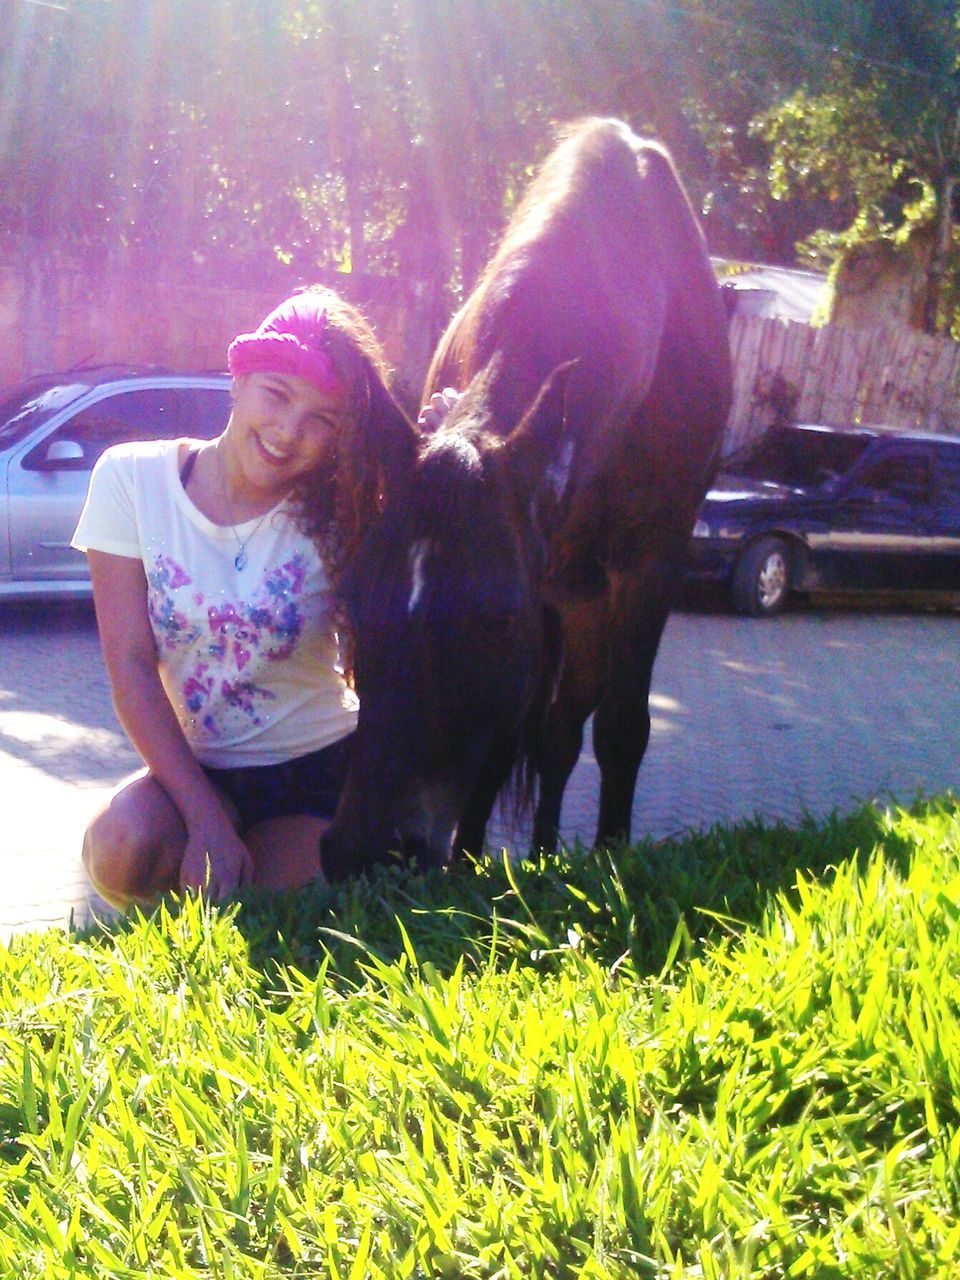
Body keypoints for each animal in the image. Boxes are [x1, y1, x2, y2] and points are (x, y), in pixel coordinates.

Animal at [320, 117, 732, 880]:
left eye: (494, 617)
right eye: (353, 599)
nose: (364, 850)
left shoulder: (647, 566)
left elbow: (622, 725)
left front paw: (611, 857)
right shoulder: (549, 589)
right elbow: (514, 739)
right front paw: (470, 864)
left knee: (571, 724)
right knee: (553, 731)